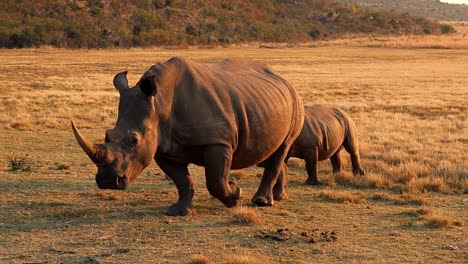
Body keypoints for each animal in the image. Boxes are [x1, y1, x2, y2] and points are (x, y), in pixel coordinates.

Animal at [71, 56, 302, 216]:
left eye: (134, 141)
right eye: (108, 135)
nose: (108, 180)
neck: (160, 103)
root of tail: (285, 80)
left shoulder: (218, 141)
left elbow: (216, 181)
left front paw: (235, 195)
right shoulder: (163, 147)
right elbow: (182, 181)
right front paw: (179, 212)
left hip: (295, 102)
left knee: (282, 149)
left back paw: (261, 202)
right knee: (273, 153)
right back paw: (278, 197)